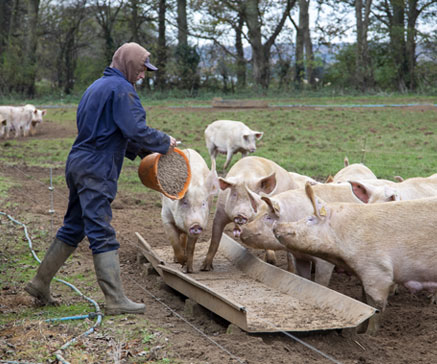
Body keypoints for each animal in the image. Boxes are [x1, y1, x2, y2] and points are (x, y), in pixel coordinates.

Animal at [240, 181, 396, 284]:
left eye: (268, 217)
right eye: (254, 216)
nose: (242, 230)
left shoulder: (324, 262)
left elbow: (321, 282)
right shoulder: (299, 256)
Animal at [272, 183, 436, 334]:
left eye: (310, 219)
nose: (276, 225)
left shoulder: (378, 273)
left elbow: (376, 306)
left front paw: (369, 335)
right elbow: (364, 301)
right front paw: (359, 331)